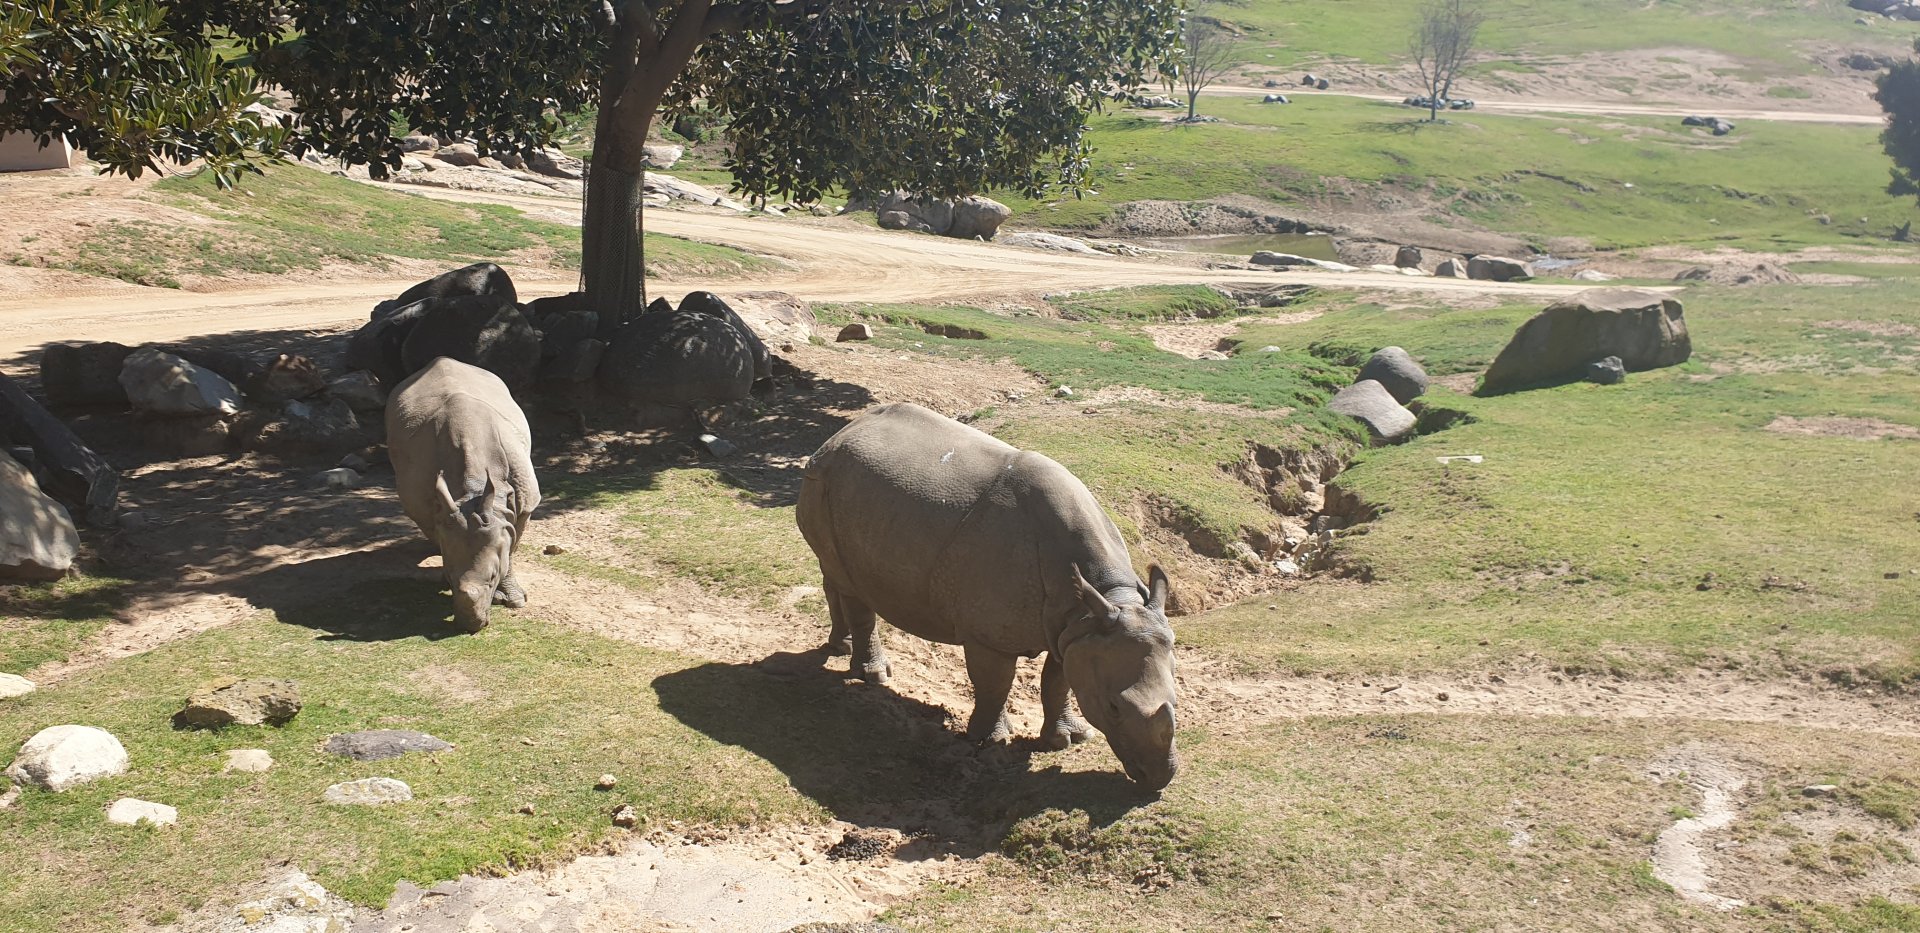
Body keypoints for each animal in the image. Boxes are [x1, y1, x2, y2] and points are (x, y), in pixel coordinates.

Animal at [386, 358, 540, 631]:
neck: (473, 491)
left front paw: (514, 600)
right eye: (450, 575)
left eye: (493, 576)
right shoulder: (426, 506)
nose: (470, 626)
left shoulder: (525, 502)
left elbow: (511, 547)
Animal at [796, 402, 1179, 790]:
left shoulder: (1074, 628)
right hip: (821, 481)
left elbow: (1058, 682)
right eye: (1114, 708)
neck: (1108, 596)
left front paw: (1069, 739)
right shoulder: (990, 635)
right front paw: (991, 741)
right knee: (851, 587)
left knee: (835, 574)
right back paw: (874, 676)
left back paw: (839, 647)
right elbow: (995, 684)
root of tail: (836, 437)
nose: (1160, 779)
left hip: (848, 493)